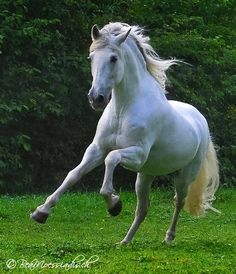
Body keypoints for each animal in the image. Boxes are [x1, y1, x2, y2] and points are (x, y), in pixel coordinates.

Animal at [30, 22, 220, 244]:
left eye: (113, 58)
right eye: (91, 57)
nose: (96, 98)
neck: (123, 109)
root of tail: (200, 119)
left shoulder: (137, 155)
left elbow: (111, 159)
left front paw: (114, 204)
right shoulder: (97, 149)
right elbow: (73, 175)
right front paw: (41, 212)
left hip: (184, 175)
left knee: (178, 202)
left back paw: (168, 238)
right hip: (146, 175)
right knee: (143, 209)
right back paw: (125, 241)